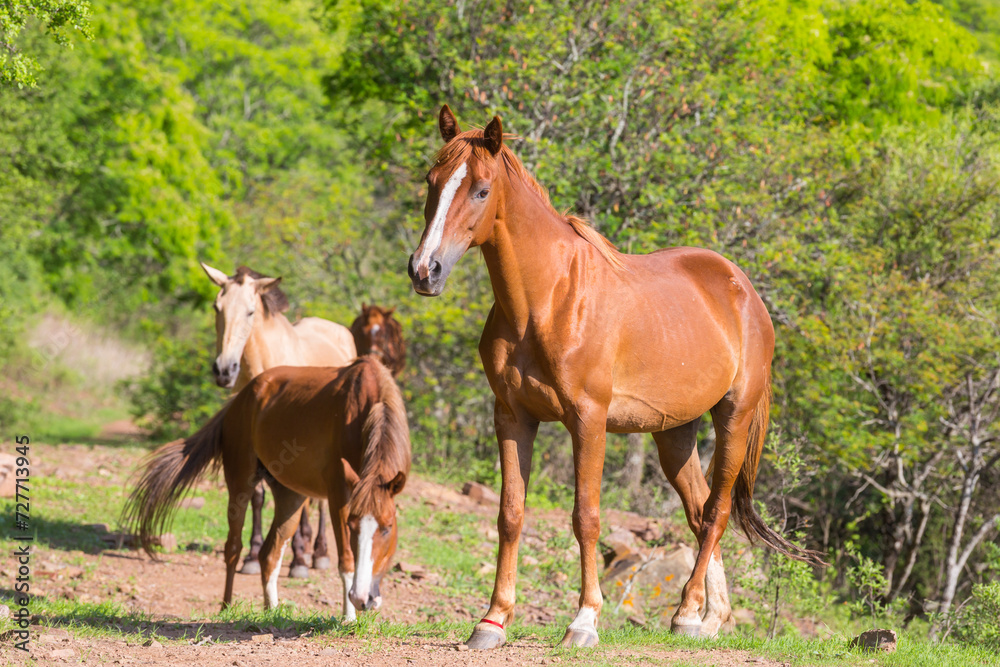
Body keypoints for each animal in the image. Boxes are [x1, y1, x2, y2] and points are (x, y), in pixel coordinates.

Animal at [123, 358, 408, 624]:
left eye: (387, 528)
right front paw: (349, 616)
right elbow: (347, 559)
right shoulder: (339, 493)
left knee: (268, 553)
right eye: (352, 526)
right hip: (240, 485)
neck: (365, 409)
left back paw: (272, 610)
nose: (362, 598)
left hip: (291, 496)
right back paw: (226, 607)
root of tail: (240, 399)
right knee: (234, 548)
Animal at [199, 264, 356, 580]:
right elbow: (257, 497)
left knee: (320, 501)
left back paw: (317, 553)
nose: (224, 370)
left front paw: (298, 560)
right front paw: (251, 555)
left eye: (250, 312)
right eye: (216, 307)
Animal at [406, 107, 820, 648]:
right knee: (698, 511)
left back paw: (690, 610)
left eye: (480, 189)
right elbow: (510, 514)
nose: (424, 270)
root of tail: (743, 289)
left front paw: (584, 621)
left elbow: (586, 517)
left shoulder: (588, 421)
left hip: (735, 416)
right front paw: (493, 620)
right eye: (431, 181)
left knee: (717, 512)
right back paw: (704, 618)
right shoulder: (512, 417)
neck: (547, 300)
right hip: (674, 434)